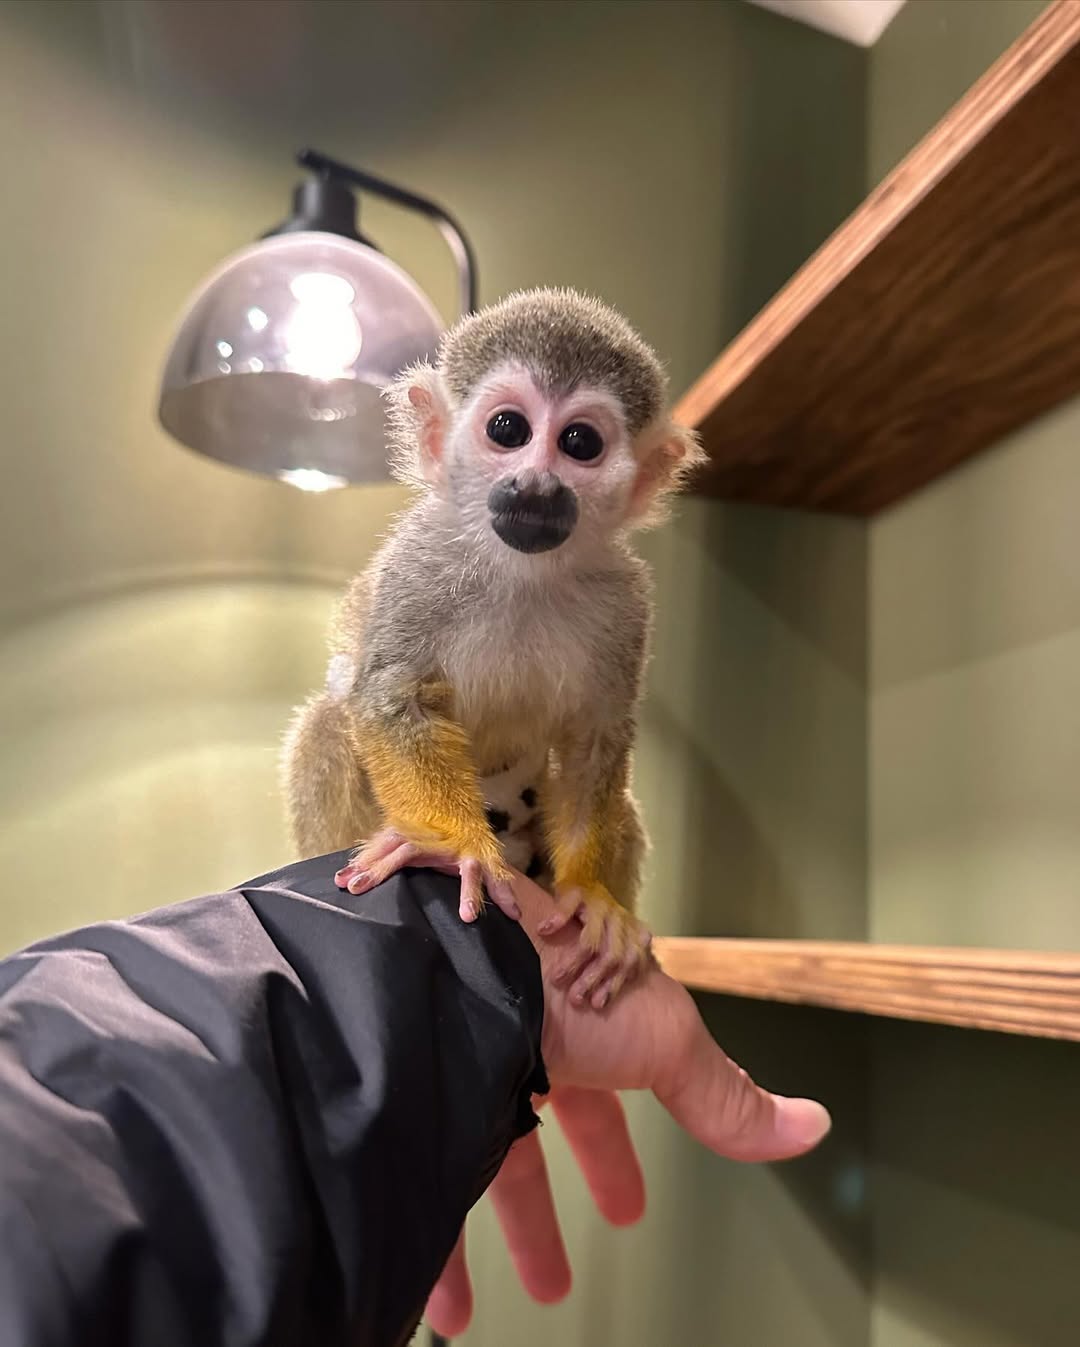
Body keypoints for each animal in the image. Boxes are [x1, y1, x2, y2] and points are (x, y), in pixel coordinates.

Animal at [281, 287, 704, 1009]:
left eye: (580, 443)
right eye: (508, 430)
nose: (537, 485)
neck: (520, 570)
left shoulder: (626, 601)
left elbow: (595, 737)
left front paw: (590, 896)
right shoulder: (418, 561)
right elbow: (391, 698)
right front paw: (458, 849)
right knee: (329, 722)